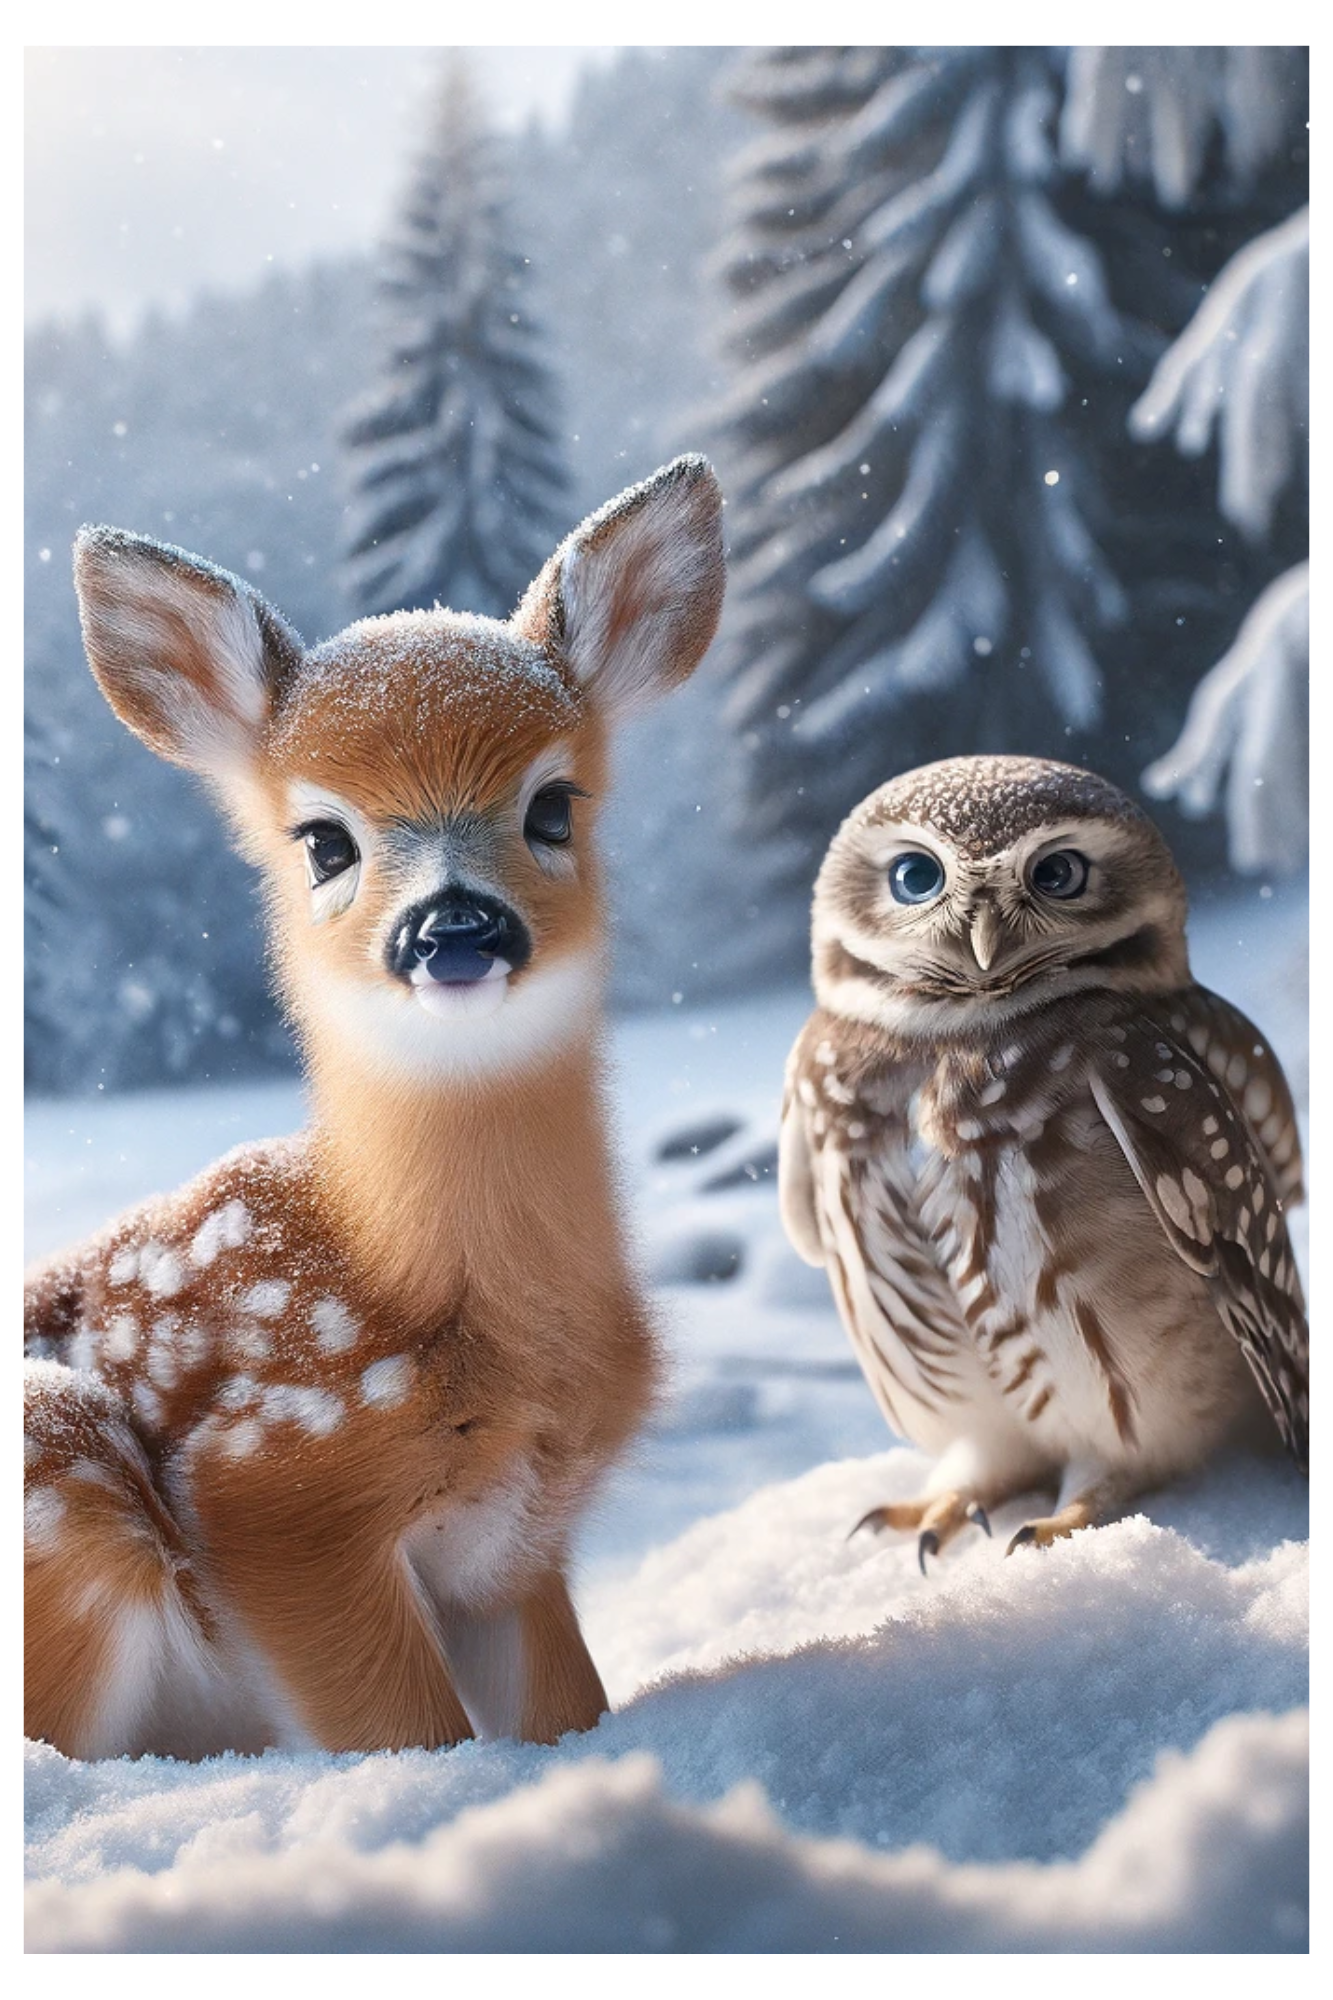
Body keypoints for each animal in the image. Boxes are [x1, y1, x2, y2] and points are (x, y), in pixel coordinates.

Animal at [24, 455, 725, 1761]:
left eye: (553, 805)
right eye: (323, 839)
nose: (454, 926)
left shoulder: (516, 1538)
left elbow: (563, 1707)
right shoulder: (278, 1483)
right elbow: (411, 1729)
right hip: (65, 1476)